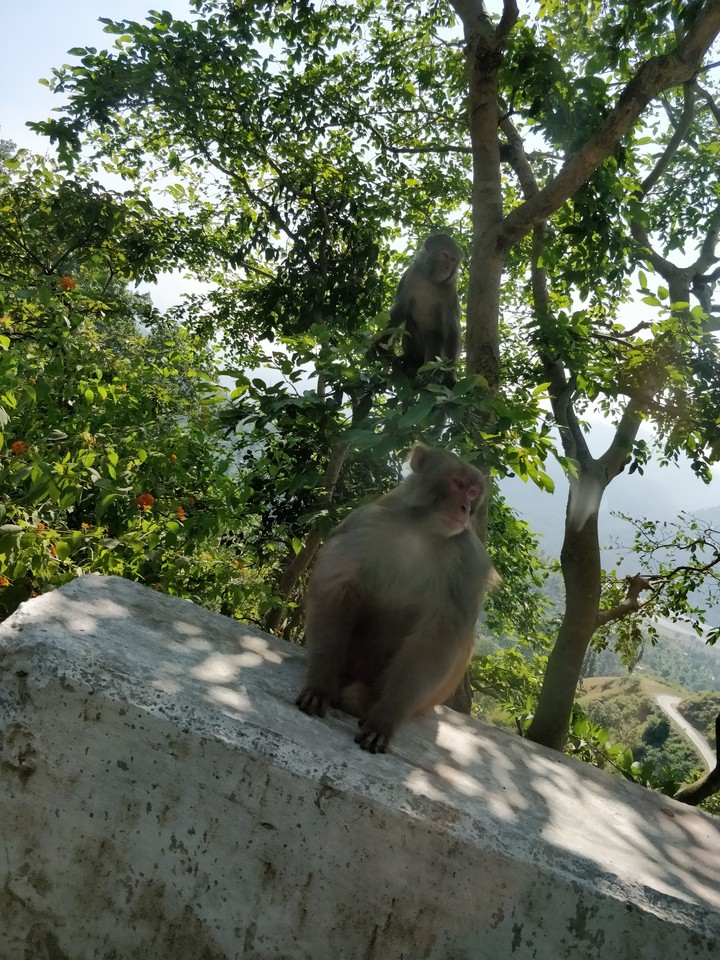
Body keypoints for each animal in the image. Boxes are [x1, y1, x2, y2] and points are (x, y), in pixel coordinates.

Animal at [296, 444, 500, 753]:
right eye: (458, 483)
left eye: (474, 492)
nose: (465, 508)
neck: (422, 530)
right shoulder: (365, 523)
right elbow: (336, 593)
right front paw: (321, 684)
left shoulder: (469, 561)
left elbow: (439, 636)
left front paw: (384, 719)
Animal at [376, 233, 464, 385]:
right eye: (445, 255)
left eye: (453, 260)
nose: (448, 267)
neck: (430, 280)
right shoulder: (410, 276)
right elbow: (400, 309)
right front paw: (381, 343)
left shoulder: (450, 292)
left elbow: (451, 329)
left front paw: (449, 376)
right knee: (410, 324)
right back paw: (410, 360)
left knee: (434, 336)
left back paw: (431, 376)